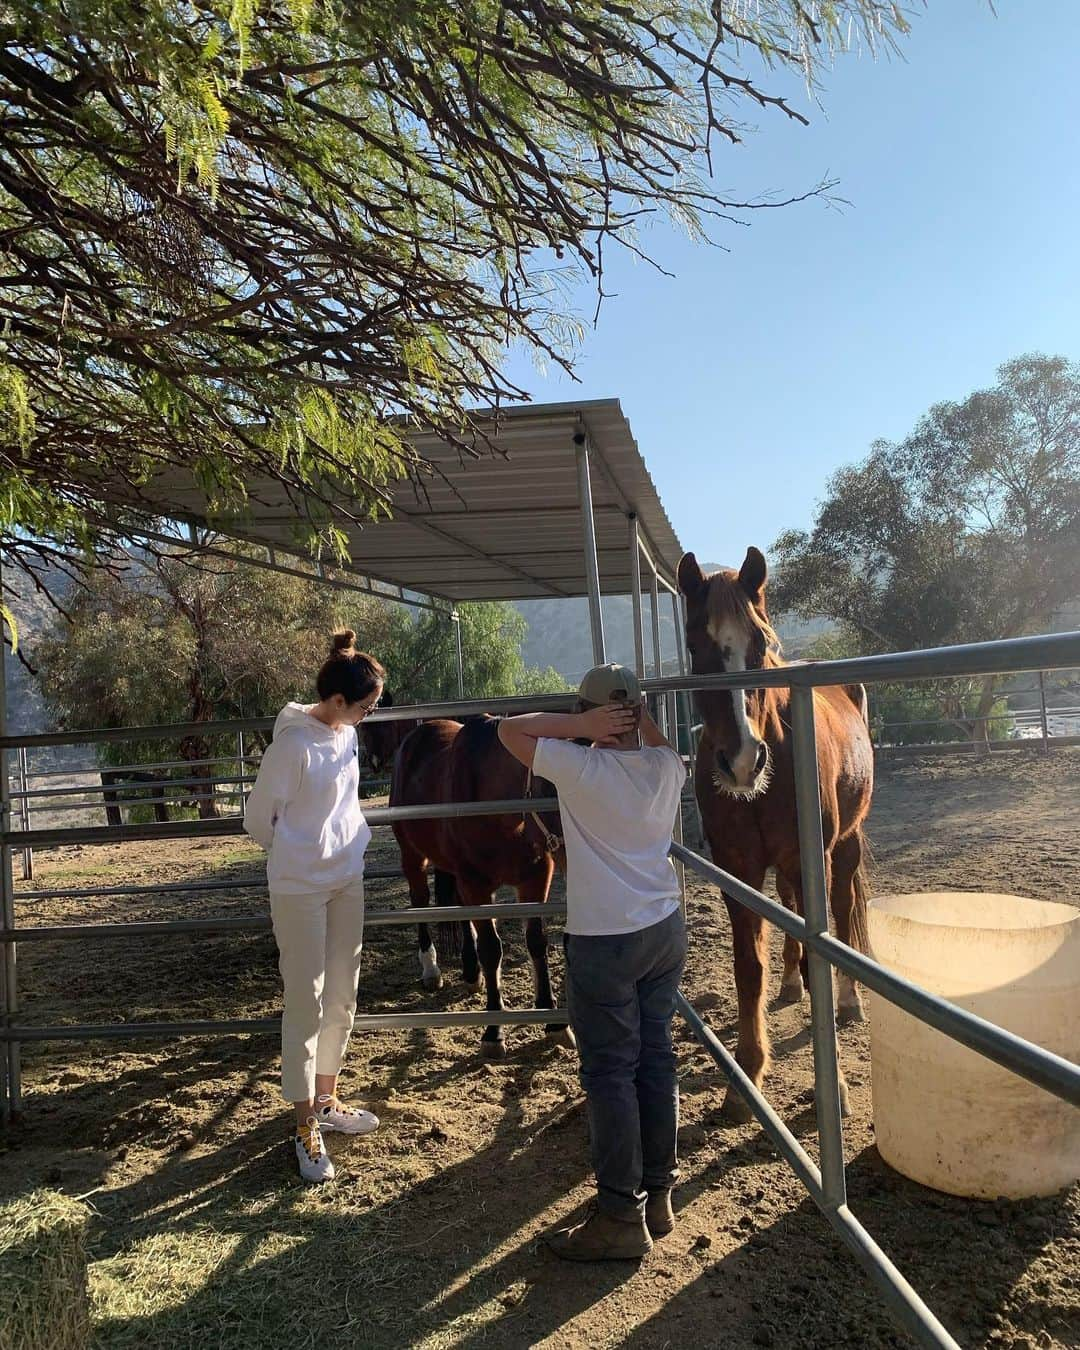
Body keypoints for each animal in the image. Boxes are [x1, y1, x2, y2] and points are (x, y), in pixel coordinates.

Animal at [391, 712, 572, 1058]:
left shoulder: (535, 877)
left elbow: (536, 942)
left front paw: (553, 1020)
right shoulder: (475, 884)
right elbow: (491, 948)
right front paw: (493, 1030)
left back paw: (471, 971)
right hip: (412, 856)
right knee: (420, 900)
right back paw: (431, 968)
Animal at [680, 545, 874, 1117]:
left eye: (762, 642)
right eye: (695, 645)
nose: (743, 761)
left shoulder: (812, 860)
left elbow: (820, 959)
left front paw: (835, 1089)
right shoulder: (736, 870)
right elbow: (748, 968)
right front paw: (744, 1079)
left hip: (844, 849)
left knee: (844, 911)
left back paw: (851, 1000)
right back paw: (788, 986)